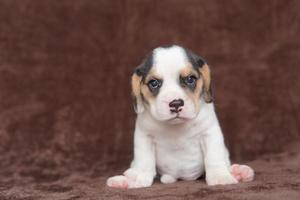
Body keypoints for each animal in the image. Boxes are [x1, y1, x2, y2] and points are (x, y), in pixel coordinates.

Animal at [106, 45, 254, 189]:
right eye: (154, 83)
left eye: (190, 79)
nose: (176, 103)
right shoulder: (144, 137)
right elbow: (144, 161)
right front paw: (139, 178)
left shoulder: (210, 133)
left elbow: (214, 157)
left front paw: (220, 177)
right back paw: (124, 180)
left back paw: (239, 172)